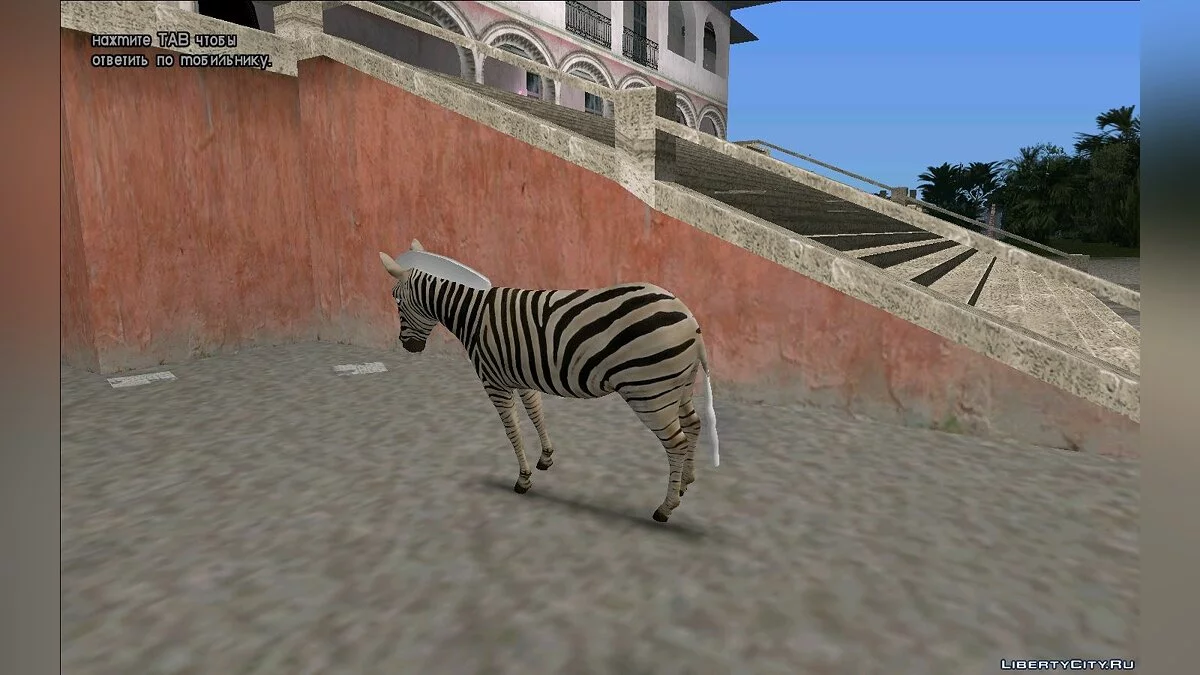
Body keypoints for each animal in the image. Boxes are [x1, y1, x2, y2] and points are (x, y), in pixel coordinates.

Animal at [378, 240, 719, 523]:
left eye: (396, 301)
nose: (408, 347)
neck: (473, 314)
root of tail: (690, 318)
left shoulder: (493, 382)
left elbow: (512, 430)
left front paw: (524, 478)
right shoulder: (521, 373)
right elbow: (536, 412)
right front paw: (546, 457)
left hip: (650, 392)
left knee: (676, 442)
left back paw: (666, 508)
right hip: (678, 387)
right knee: (693, 425)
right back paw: (686, 482)